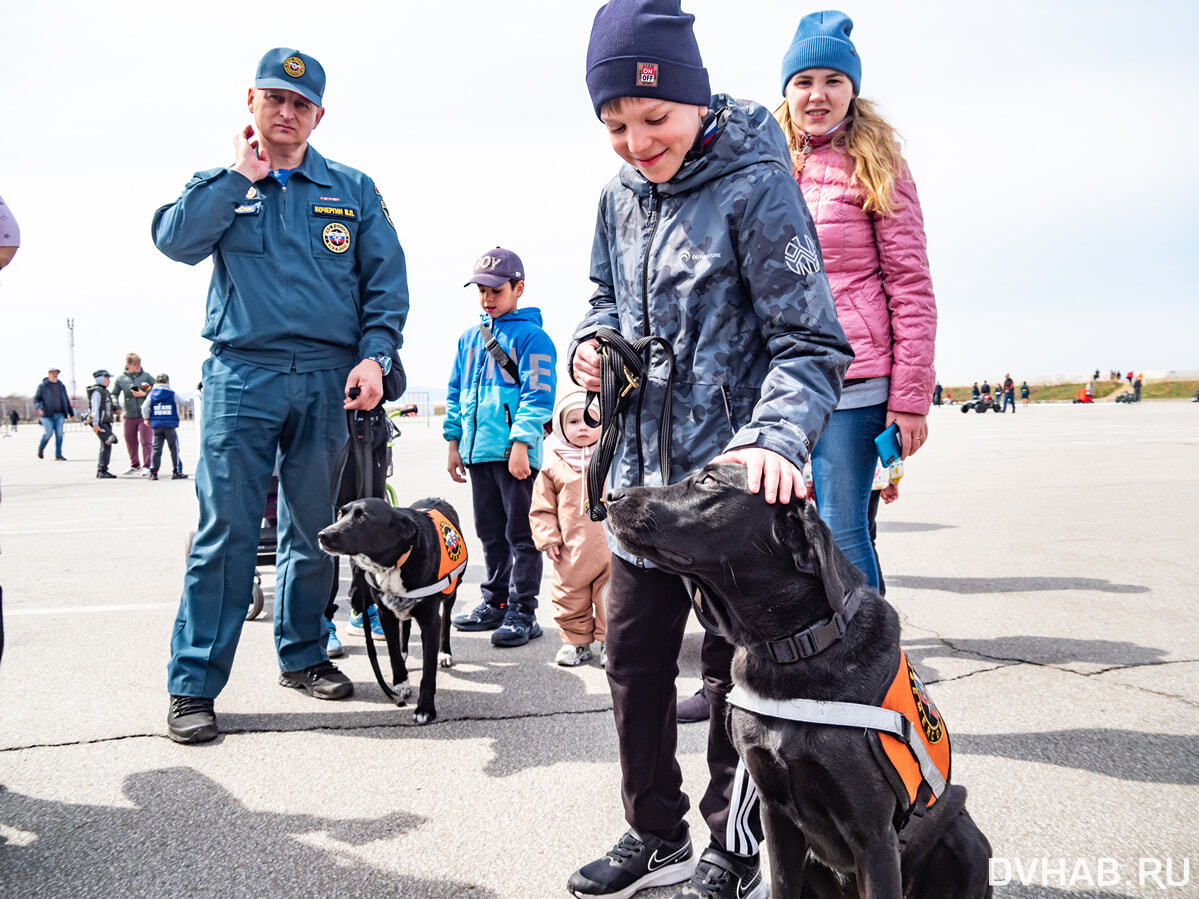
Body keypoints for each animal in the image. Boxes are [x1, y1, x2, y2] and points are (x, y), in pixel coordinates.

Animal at [316, 496, 465, 728]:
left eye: (362, 517)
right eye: (341, 514)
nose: (322, 535)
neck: (394, 563)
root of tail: (436, 498)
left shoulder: (430, 621)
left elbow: (428, 672)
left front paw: (425, 709)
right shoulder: (385, 614)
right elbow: (393, 652)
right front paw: (401, 682)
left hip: (451, 593)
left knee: (447, 621)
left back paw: (445, 653)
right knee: (406, 625)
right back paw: (405, 653)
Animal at [609, 467, 992, 896]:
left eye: (709, 481)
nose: (611, 495)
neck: (795, 649)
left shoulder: (874, 835)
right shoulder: (775, 814)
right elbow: (781, 881)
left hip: (966, 835)